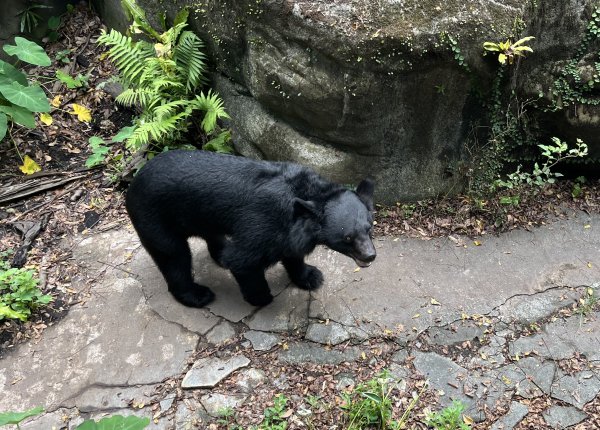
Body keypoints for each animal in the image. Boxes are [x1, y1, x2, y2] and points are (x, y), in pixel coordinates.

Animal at [126, 149, 376, 308]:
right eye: (347, 237)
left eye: (369, 228)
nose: (370, 256)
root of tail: (134, 181)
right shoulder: (264, 221)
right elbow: (243, 259)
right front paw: (262, 297)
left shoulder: (290, 231)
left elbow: (292, 252)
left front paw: (311, 276)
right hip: (154, 217)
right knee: (173, 256)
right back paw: (198, 295)